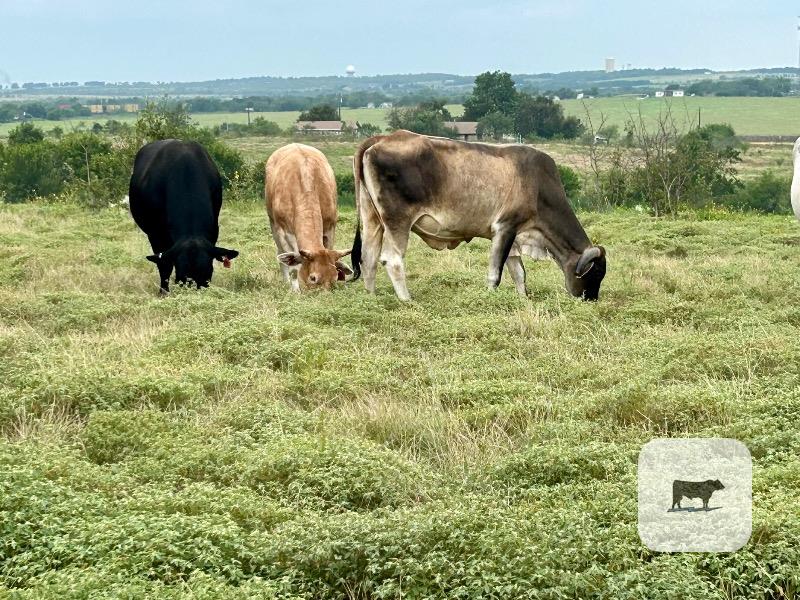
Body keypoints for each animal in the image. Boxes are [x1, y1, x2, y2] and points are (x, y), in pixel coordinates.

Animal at [129, 139, 239, 293]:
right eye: (180, 278)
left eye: (208, 274)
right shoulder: (155, 234)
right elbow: (164, 266)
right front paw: (163, 292)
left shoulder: (214, 230)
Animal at [265, 143, 352, 291]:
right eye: (313, 278)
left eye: (335, 277)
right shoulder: (284, 232)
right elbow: (293, 266)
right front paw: (295, 290)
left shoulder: (330, 228)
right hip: (273, 224)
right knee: (280, 253)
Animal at [349, 130, 606, 301]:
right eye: (595, 274)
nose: (591, 299)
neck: (539, 187)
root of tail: (381, 139)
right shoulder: (505, 227)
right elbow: (496, 274)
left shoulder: (513, 237)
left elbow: (519, 274)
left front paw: (523, 300)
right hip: (397, 221)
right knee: (391, 260)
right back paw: (407, 300)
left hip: (372, 219)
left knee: (368, 258)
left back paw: (370, 298)